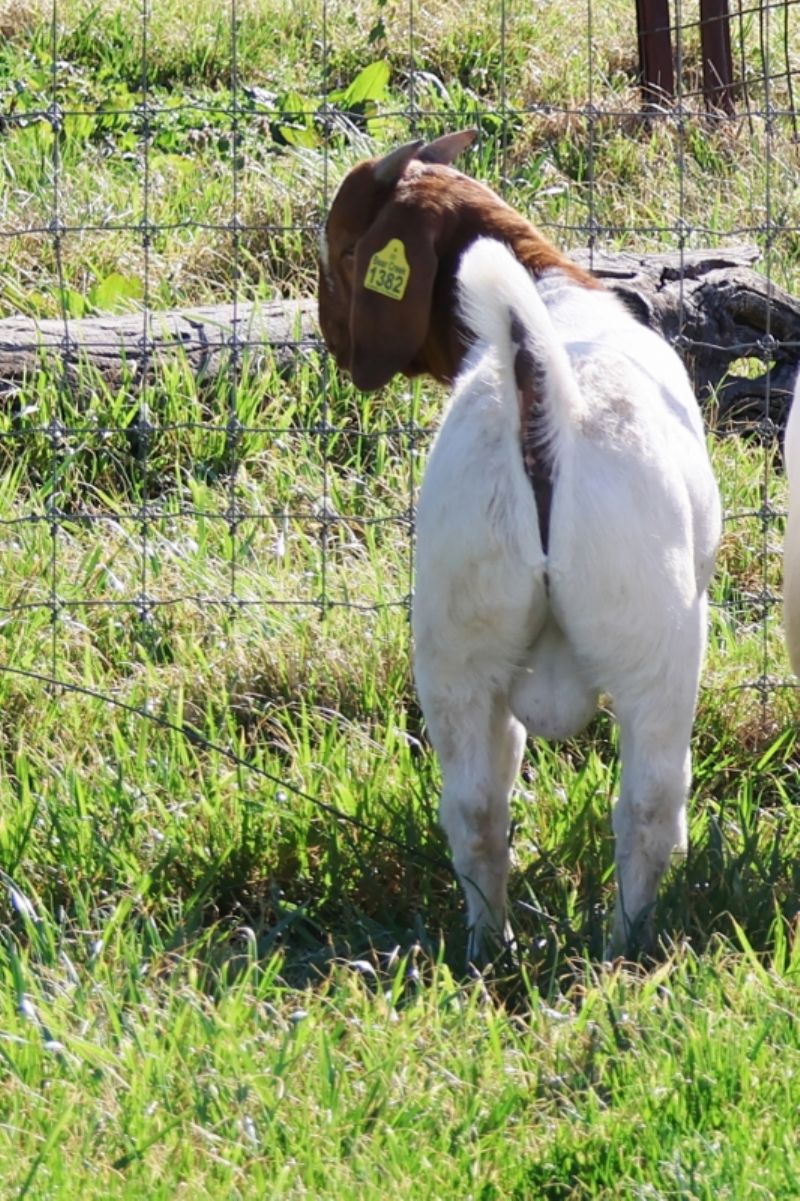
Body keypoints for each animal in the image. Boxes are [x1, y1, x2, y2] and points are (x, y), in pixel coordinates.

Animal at [318, 130, 721, 960]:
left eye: (342, 248)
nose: (329, 336)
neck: (554, 287)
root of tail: (541, 384)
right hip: (655, 638)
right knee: (650, 805)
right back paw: (625, 945)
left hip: (457, 637)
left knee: (476, 807)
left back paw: (488, 946)